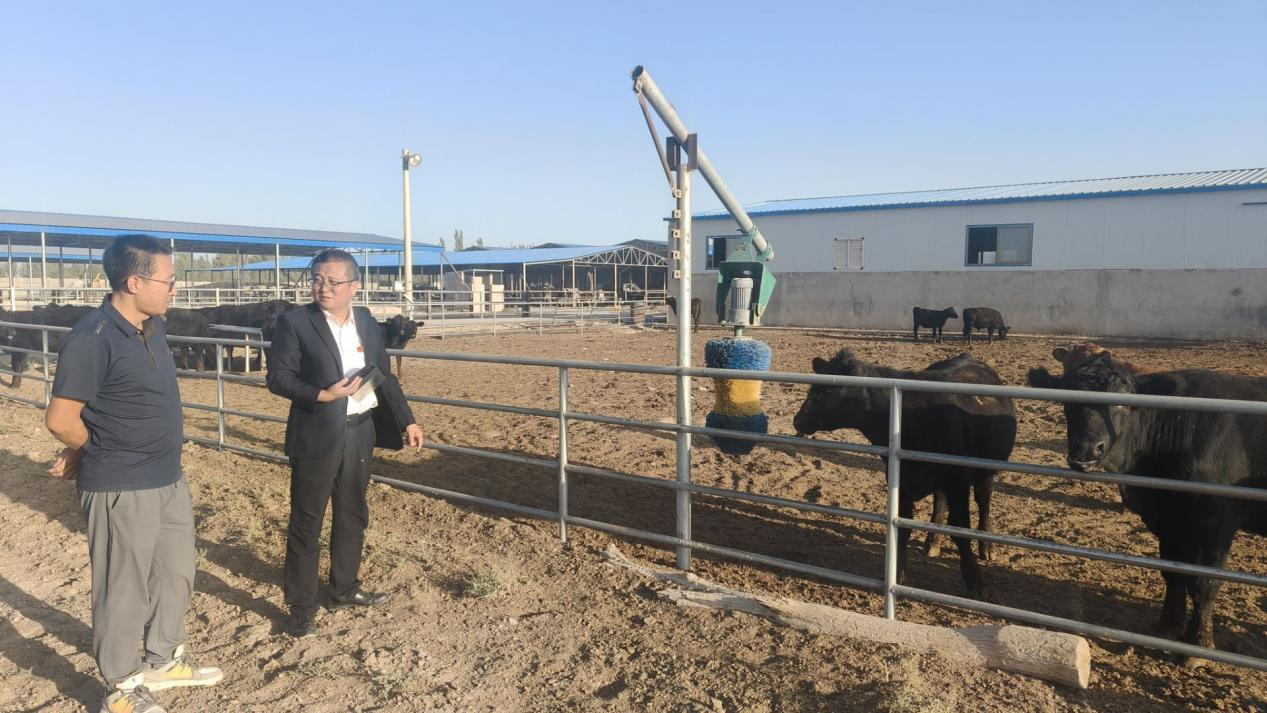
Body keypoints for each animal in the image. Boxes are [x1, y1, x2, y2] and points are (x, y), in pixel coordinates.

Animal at [793, 350, 1016, 599]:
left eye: (827, 390)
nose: (798, 421)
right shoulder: (901, 481)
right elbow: (902, 527)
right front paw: (896, 575)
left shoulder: (957, 482)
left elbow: (960, 529)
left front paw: (974, 581)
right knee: (939, 502)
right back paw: (932, 542)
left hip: (985, 472)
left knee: (983, 501)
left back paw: (986, 546)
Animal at [1027, 353, 1267, 664]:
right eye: (1069, 400)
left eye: (1121, 403)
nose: (1088, 450)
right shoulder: (1169, 518)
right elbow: (1173, 572)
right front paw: (1167, 627)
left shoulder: (1215, 523)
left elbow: (1204, 582)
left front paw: (1198, 647)